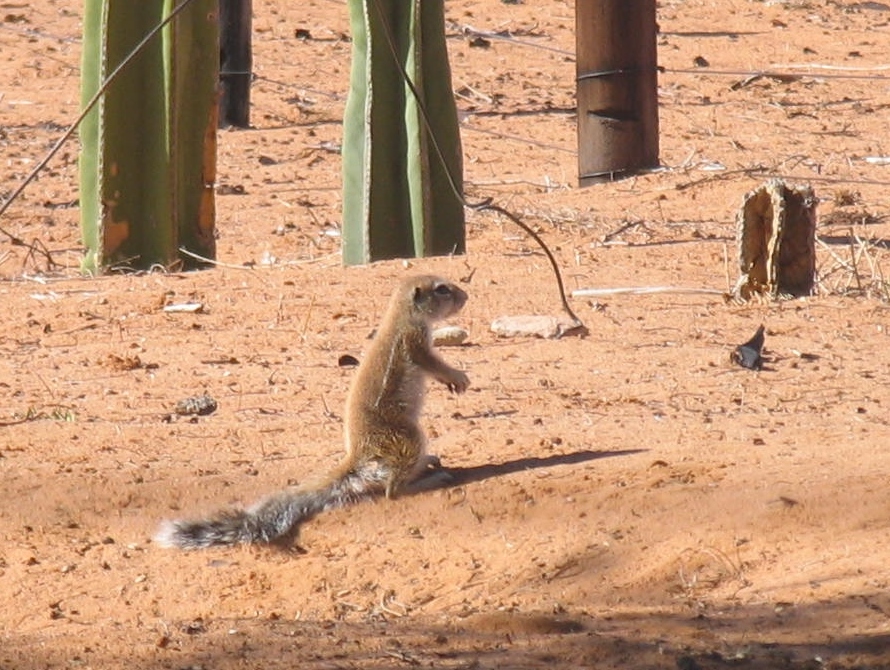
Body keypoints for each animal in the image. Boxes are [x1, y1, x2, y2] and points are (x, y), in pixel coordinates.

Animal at [155, 276, 468, 548]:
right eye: (442, 289)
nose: (465, 296)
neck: (403, 316)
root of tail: (358, 455)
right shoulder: (415, 342)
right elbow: (435, 364)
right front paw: (459, 377)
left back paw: (427, 463)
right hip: (408, 436)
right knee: (393, 492)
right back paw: (430, 479)